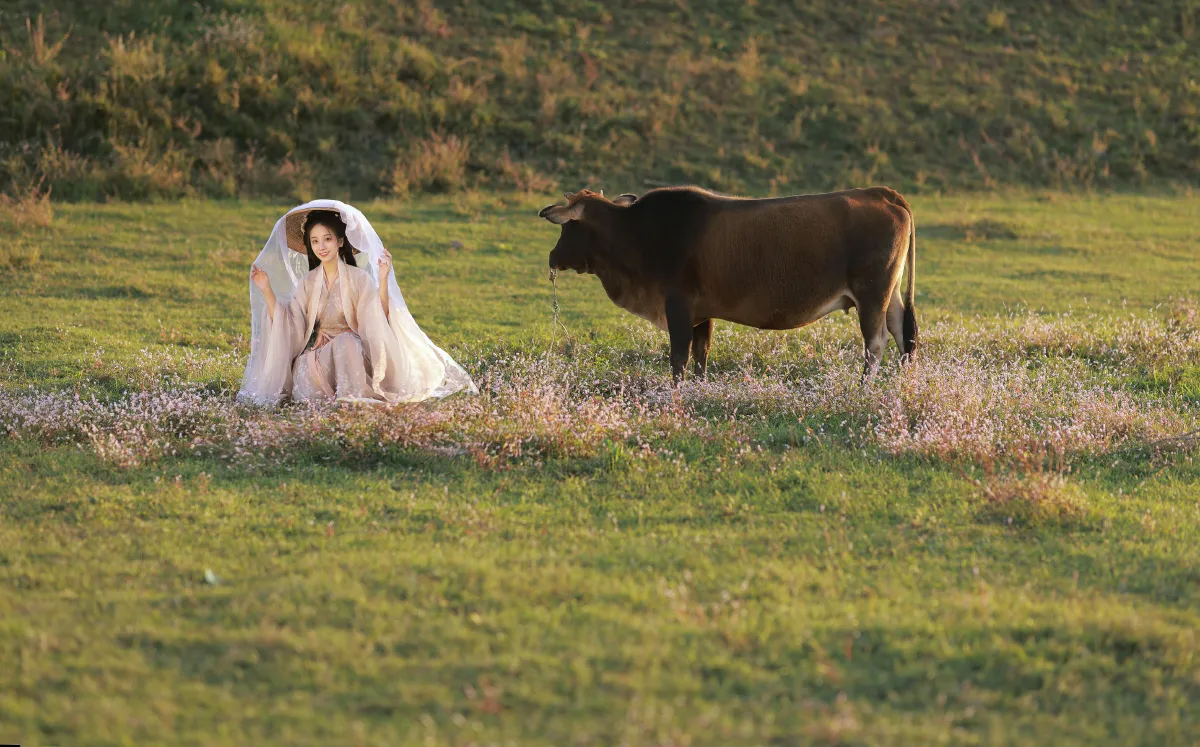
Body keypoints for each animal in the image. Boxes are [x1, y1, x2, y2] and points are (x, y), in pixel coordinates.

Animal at [540, 186, 921, 384]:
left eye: (568, 227)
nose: (552, 256)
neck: (637, 233)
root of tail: (881, 194)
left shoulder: (677, 306)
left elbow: (679, 357)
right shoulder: (701, 313)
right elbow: (701, 355)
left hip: (871, 293)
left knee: (875, 343)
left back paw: (863, 388)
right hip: (889, 295)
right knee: (904, 333)